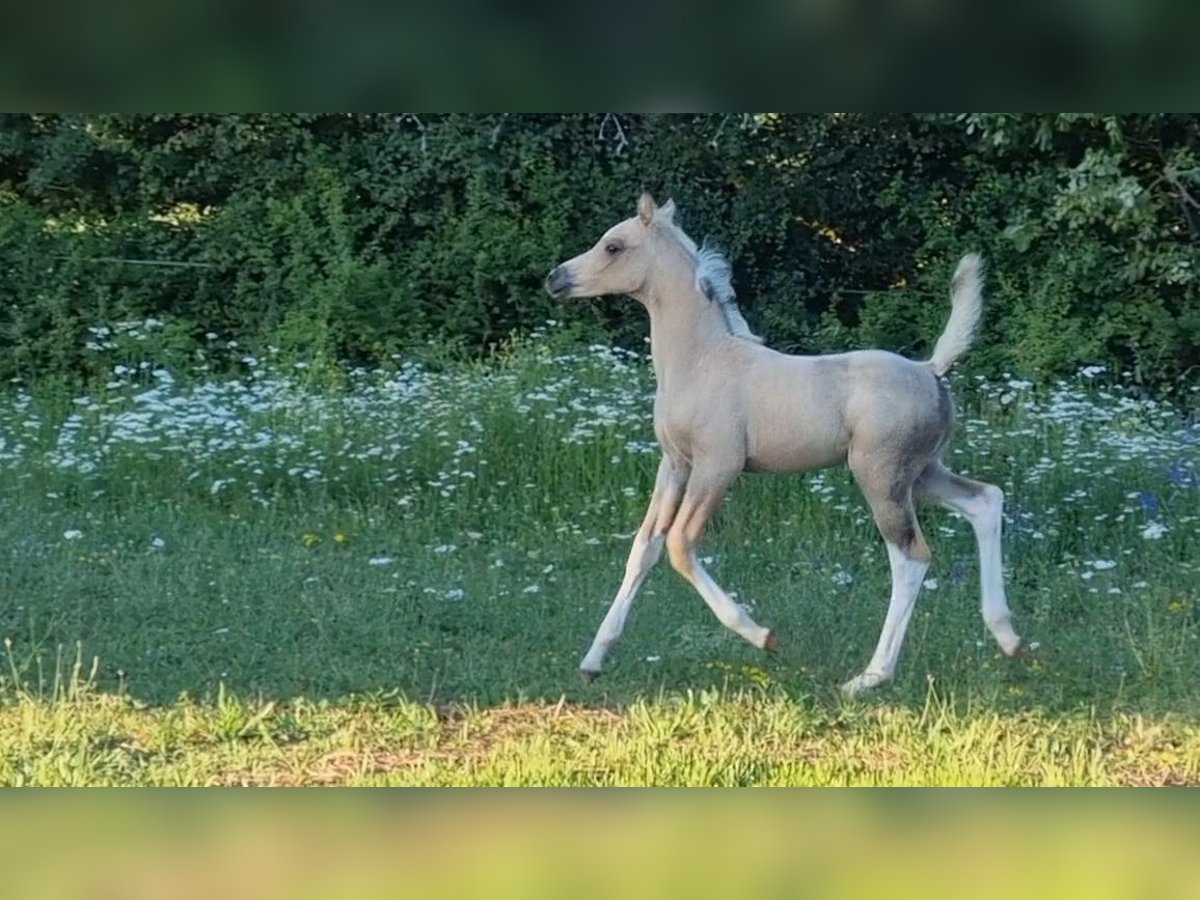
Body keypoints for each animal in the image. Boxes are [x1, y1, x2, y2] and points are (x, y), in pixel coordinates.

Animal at [544, 194, 1022, 696]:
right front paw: (593, 660)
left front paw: (763, 637)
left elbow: (679, 545)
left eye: (613, 246)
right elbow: (644, 548)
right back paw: (1010, 640)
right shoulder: (674, 464)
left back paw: (869, 677)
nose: (555, 279)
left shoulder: (718, 466)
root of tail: (931, 369)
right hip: (923, 473)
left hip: (881, 477)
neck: (701, 360)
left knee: (911, 557)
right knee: (985, 501)